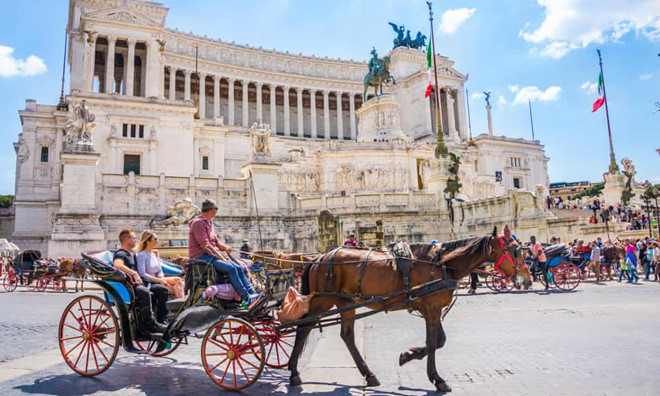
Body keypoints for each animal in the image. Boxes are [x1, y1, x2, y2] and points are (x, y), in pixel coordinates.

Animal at [288, 227, 532, 392]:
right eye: (515, 250)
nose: (527, 279)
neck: (442, 264)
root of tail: (319, 257)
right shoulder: (431, 308)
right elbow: (433, 342)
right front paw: (437, 379)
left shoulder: (432, 308)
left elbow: (439, 341)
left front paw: (408, 355)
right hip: (323, 300)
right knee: (303, 328)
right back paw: (293, 372)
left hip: (346, 302)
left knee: (346, 335)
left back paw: (369, 375)